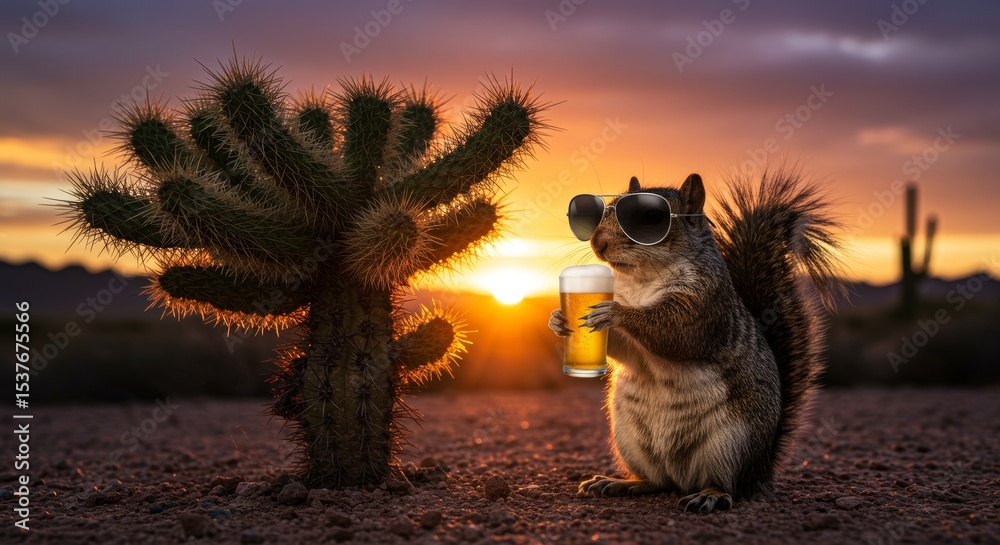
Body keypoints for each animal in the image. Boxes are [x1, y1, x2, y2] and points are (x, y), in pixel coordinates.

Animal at [549, 170, 843, 513]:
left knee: (726, 483)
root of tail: (761, 469)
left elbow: (674, 330)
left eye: (650, 217)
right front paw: (558, 320)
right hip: (629, 438)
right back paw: (622, 483)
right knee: (657, 481)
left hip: (731, 444)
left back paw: (710, 495)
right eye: (603, 210)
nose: (598, 242)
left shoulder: (703, 306)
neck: (641, 280)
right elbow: (621, 350)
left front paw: (616, 312)